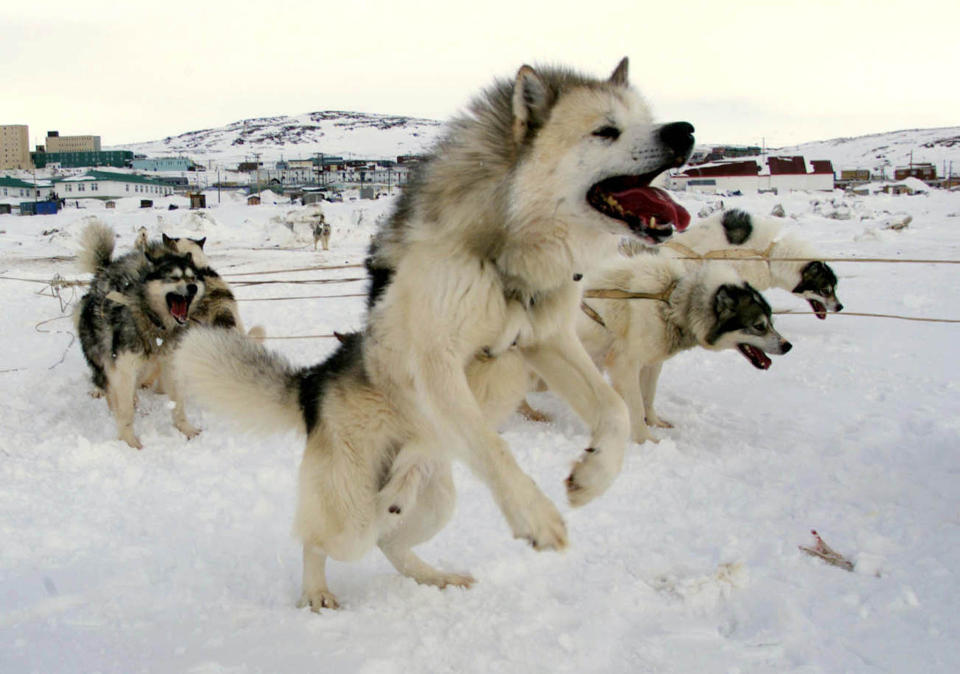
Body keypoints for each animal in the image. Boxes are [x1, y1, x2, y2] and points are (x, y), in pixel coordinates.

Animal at [77, 223, 206, 448]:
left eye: (191, 278)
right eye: (174, 278)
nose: (192, 287)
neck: (155, 324)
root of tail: (102, 274)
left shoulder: (170, 363)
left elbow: (178, 403)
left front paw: (185, 428)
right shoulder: (124, 367)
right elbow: (125, 410)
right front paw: (129, 442)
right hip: (101, 351)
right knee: (107, 382)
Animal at [176, 56, 692, 604]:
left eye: (646, 118)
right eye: (605, 131)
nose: (684, 131)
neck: (504, 257)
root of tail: (313, 385)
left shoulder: (546, 342)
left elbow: (614, 409)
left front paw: (594, 476)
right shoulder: (438, 362)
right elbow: (495, 445)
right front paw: (535, 514)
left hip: (434, 498)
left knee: (391, 542)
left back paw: (434, 576)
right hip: (351, 514)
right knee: (319, 541)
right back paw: (316, 593)